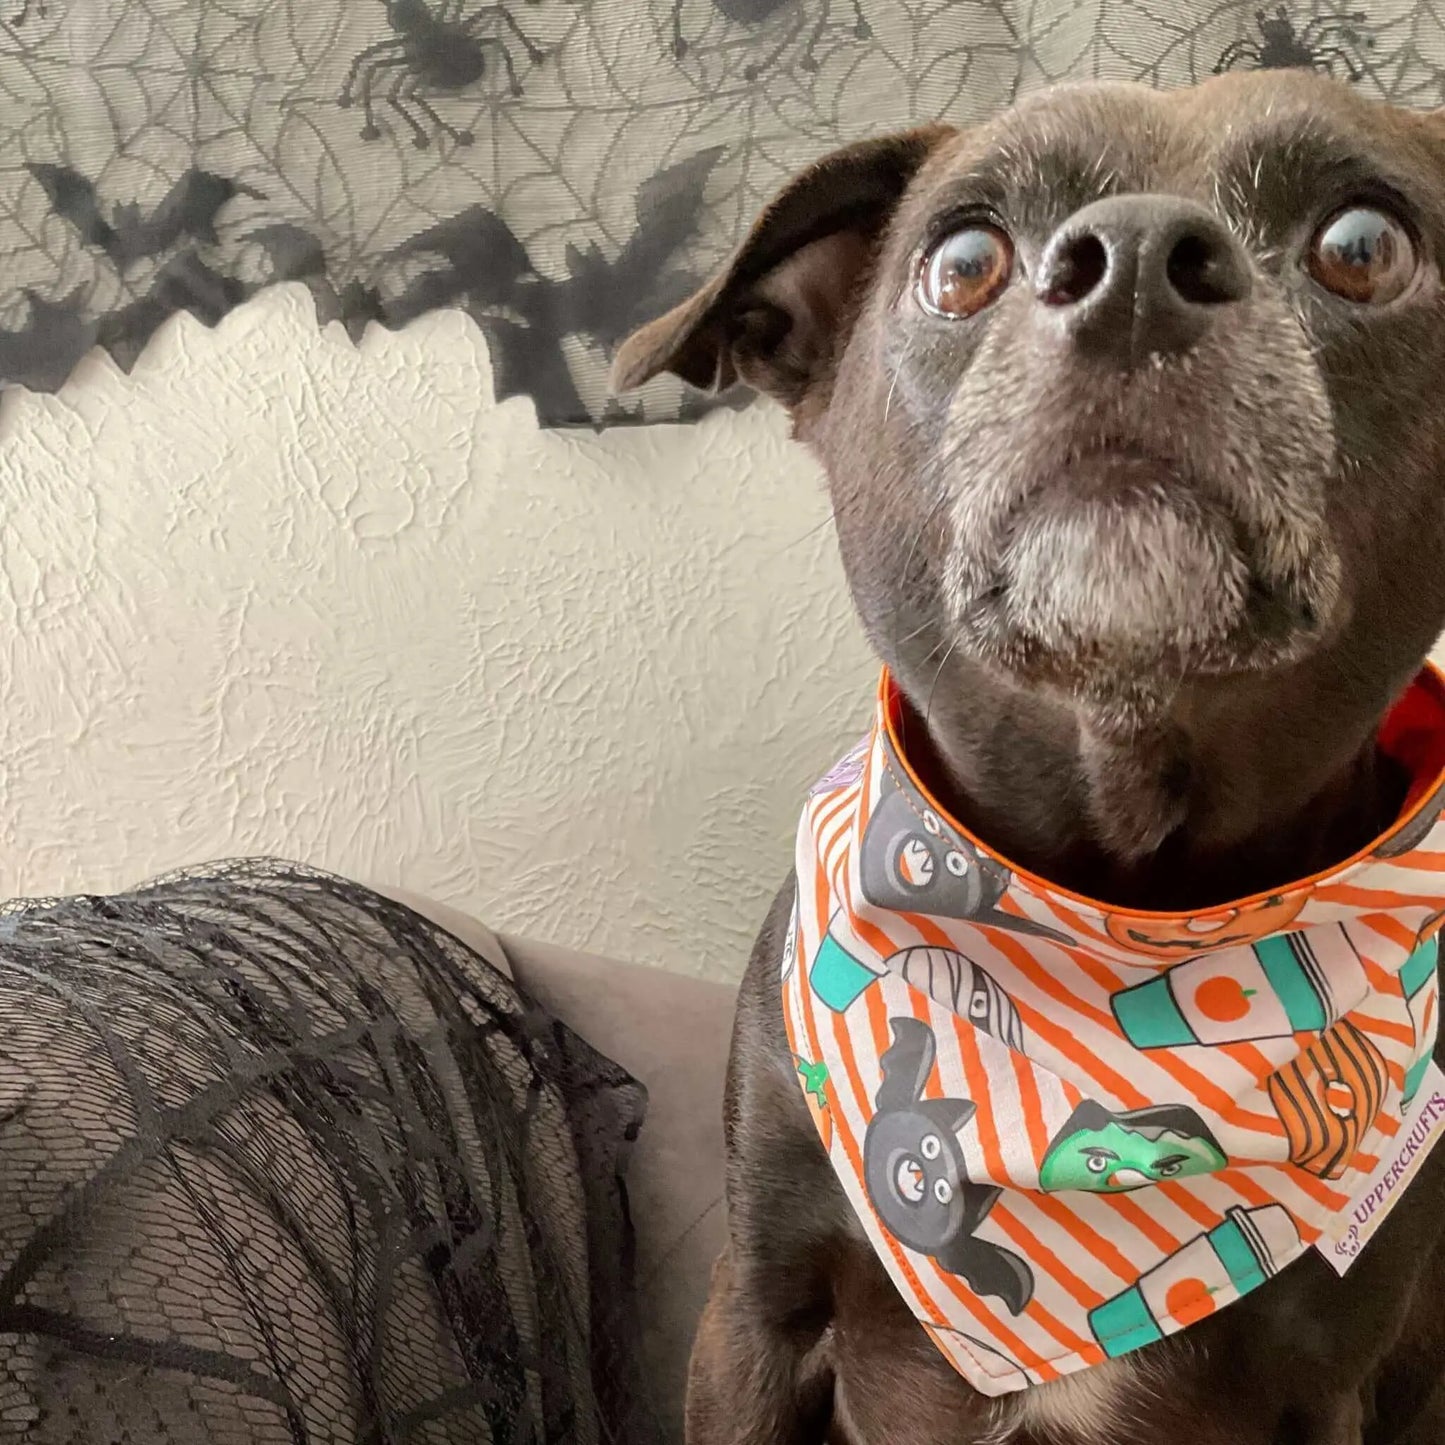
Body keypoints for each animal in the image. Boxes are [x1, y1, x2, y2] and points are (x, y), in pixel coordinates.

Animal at [615, 76, 1445, 1445]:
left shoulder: (1332, 1378)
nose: (1138, 267)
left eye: (1364, 245)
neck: (1112, 892)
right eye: (961, 262)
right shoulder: (754, 1308)